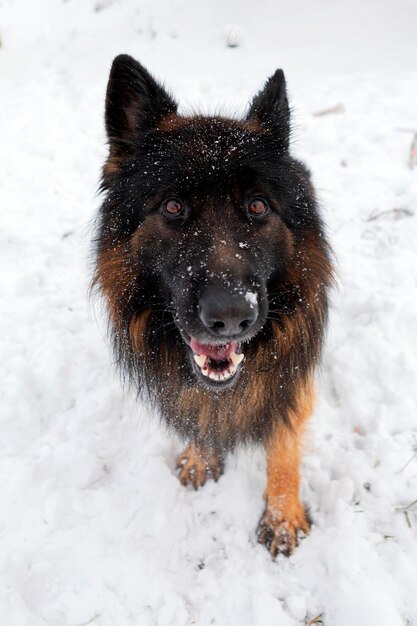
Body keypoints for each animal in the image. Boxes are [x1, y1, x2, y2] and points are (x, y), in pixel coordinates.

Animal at [92, 54, 334, 556]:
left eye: (258, 206)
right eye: (173, 206)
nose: (231, 317)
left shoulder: (292, 376)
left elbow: (284, 441)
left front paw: (282, 514)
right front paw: (203, 457)